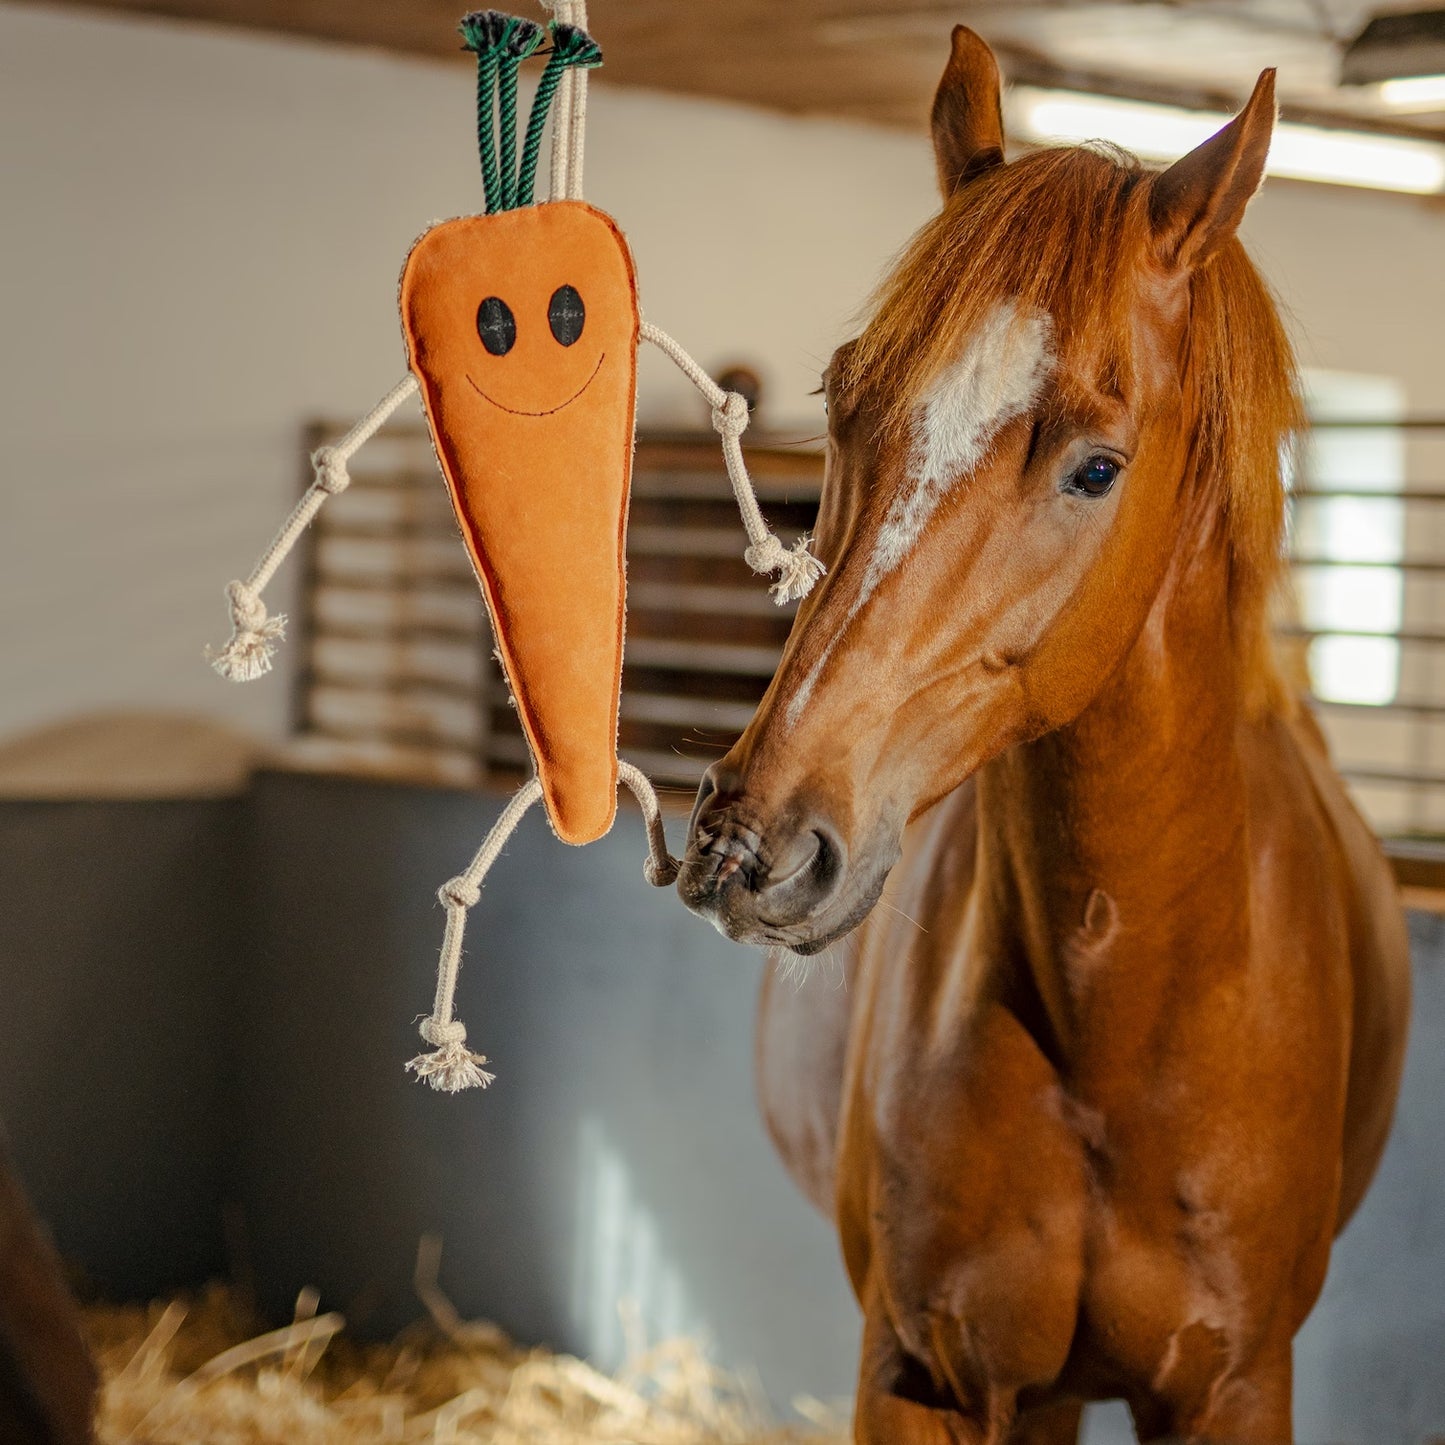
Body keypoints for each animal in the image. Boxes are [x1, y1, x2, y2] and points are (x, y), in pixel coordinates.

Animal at [679, 25, 1410, 1445]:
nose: (755, 842)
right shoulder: (917, 1367)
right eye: (843, 400)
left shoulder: (1236, 1384)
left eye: (1093, 467)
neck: (1111, 1027)